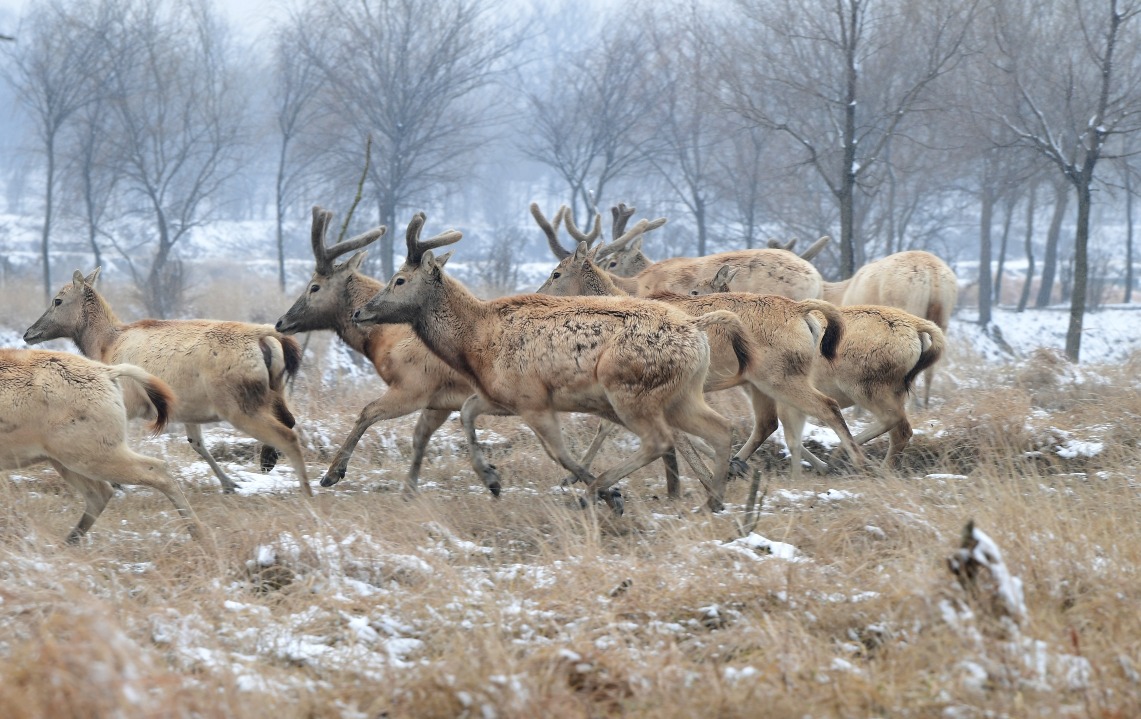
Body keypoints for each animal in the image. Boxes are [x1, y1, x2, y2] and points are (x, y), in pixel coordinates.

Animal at [0, 349, 205, 542]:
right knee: (99, 493)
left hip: (91, 457)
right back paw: (69, 541)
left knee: (157, 471)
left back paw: (201, 535)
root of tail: (107, 373)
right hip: (66, 460)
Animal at [23, 270, 312, 495]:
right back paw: (272, 462)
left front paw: (115, 483)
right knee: (290, 420)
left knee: (288, 435)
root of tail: (267, 338)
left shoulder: (128, 402)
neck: (103, 346)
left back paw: (305, 491)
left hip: (237, 404)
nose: (28, 333)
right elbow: (197, 444)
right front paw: (229, 484)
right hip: (275, 391)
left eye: (57, 300)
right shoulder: (187, 410)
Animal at [352, 212, 744, 513]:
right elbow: (466, 412)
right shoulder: (500, 396)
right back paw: (713, 500)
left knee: (659, 441)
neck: (475, 342)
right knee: (721, 429)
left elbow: (560, 453)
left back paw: (597, 493)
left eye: (399, 279)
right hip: (683, 394)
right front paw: (490, 479)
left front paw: (610, 494)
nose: (360, 312)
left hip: (631, 391)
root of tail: (696, 330)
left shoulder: (533, 398)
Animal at [535, 237, 868, 480]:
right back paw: (740, 464)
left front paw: (574, 476)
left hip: (779, 375)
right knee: (770, 423)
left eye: (556, 273)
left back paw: (856, 463)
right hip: (762, 380)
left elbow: (613, 427)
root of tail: (803, 313)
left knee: (825, 407)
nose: (539, 294)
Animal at [696, 265, 946, 474]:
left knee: (896, 424)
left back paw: (858, 461)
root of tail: (918, 327)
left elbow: (778, 429)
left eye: (696, 291)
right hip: (895, 388)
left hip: (868, 386)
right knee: (900, 429)